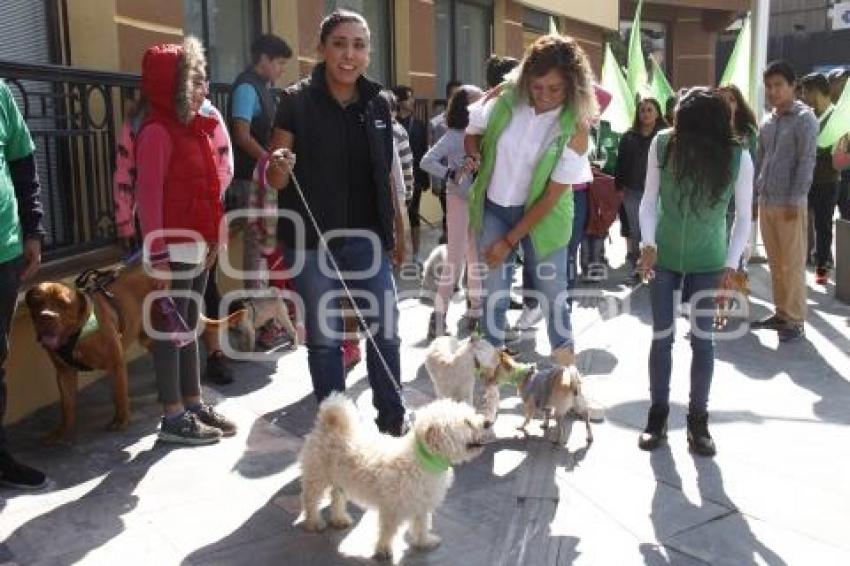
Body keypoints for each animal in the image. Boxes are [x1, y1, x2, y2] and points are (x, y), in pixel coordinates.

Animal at [24, 268, 242, 448]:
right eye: (37, 302)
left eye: (63, 303)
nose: (46, 316)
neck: (77, 333)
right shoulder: (64, 372)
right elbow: (67, 405)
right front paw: (62, 432)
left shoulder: (116, 363)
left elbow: (119, 394)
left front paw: (121, 421)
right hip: (151, 337)